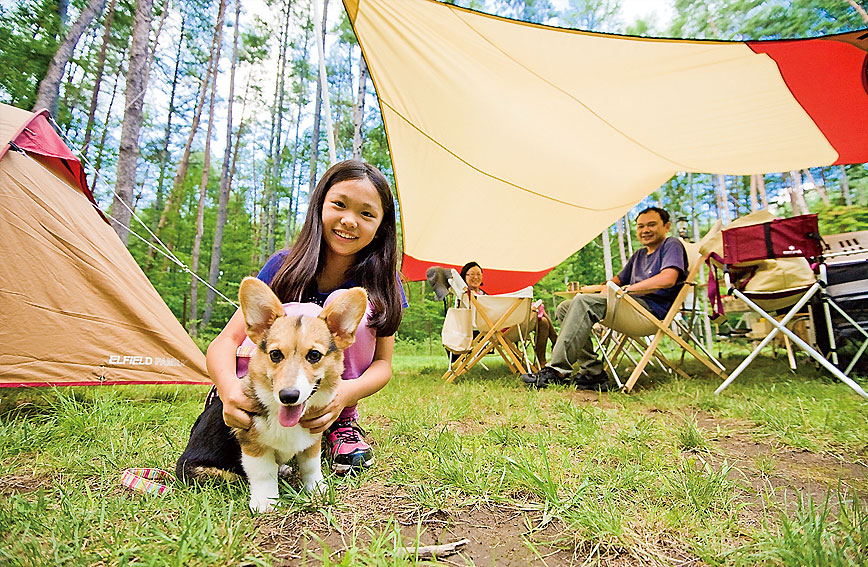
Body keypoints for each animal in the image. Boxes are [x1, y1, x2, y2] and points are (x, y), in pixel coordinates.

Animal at [176, 278, 366, 512]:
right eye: (275, 354)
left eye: (314, 355)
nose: (288, 396)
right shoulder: (252, 444)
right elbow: (263, 473)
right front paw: (266, 502)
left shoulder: (312, 439)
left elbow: (311, 467)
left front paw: (317, 489)